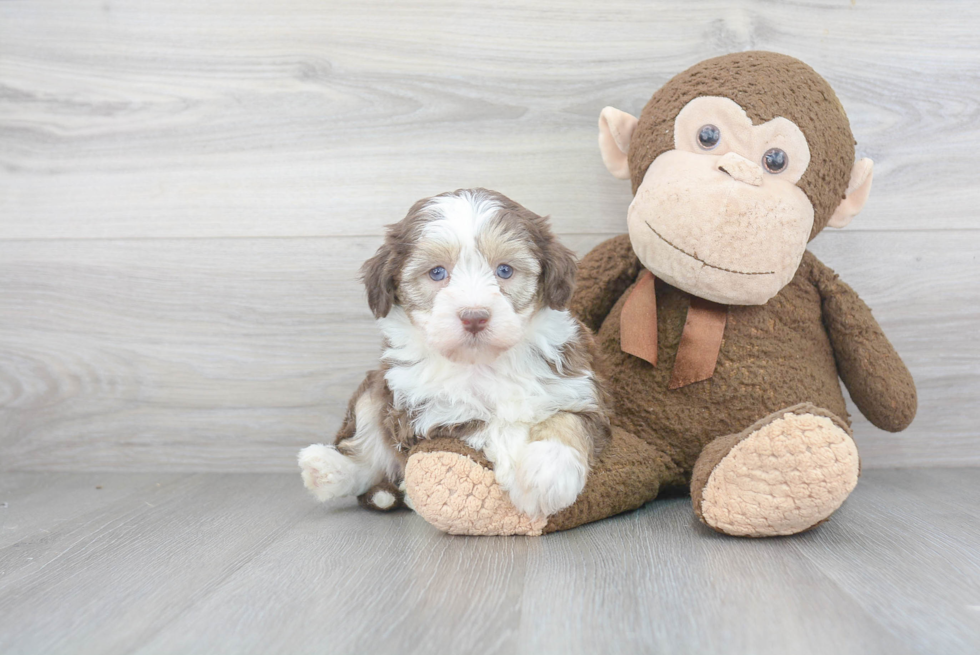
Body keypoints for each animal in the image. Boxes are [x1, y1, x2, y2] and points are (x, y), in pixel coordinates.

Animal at [294, 187, 608, 520]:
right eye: (436, 273)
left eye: (505, 270)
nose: (474, 316)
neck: (482, 362)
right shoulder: (426, 414)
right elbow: (489, 425)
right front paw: (525, 474)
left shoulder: (579, 388)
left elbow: (565, 419)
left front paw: (548, 472)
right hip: (374, 390)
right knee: (369, 455)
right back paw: (327, 470)